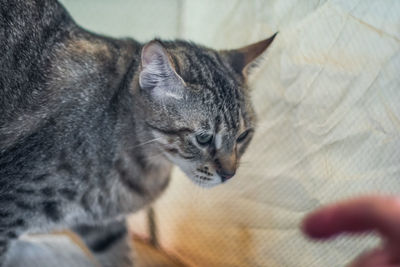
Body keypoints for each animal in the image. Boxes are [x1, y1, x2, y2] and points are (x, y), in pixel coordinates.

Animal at [0, 0, 276, 266]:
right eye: (203, 138)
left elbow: (120, 255)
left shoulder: (102, 224)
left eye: (243, 136)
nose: (230, 174)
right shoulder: (10, 212)